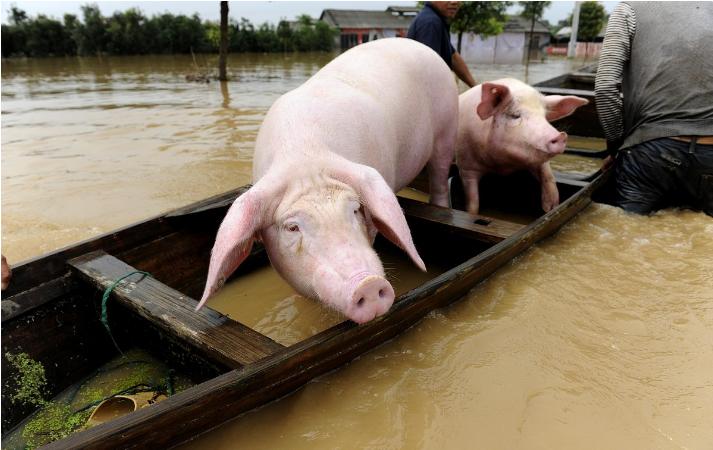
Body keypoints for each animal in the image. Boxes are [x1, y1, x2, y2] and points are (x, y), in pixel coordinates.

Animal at [197, 37, 458, 322]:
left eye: (355, 209)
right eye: (292, 227)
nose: (368, 284)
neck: (305, 155)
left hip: (447, 126)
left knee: (440, 176)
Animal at [456, 78, 588, 214]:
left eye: (544, 116)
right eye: (515, 115)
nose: (561, 135)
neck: (501, 165)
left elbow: (547, 175)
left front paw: (551, 207)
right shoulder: (466, 167)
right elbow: (473, 202)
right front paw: (471, 213)